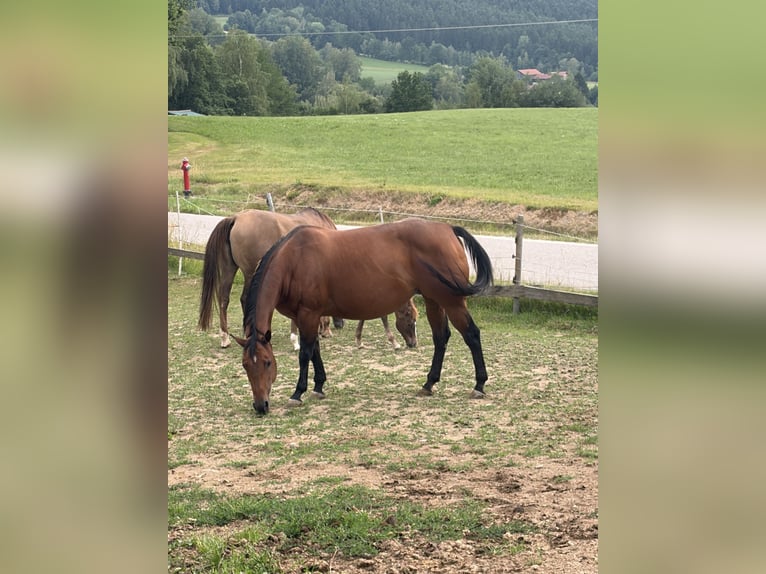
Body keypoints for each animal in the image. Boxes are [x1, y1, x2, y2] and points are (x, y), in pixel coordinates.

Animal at [198, 207, 339, 348]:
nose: (339, 325)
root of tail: (236, 218)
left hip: (229, 268)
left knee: (224, 299)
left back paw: (225, 337)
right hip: (250, 273)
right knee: (245, 298)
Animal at [232, 218, 494, 415]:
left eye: (267, 362)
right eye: (245, 365)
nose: (260, 406)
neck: (294, 260)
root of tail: (448, 229)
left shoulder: (308, 314)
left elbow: (305, 353)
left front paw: (298, 392)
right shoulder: (308, 316)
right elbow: (314, 349)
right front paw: (319, 386)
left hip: (451, 301)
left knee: (471, 334)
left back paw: (479, 384)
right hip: (434, 300)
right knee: (441, 338)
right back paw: (429, 383)